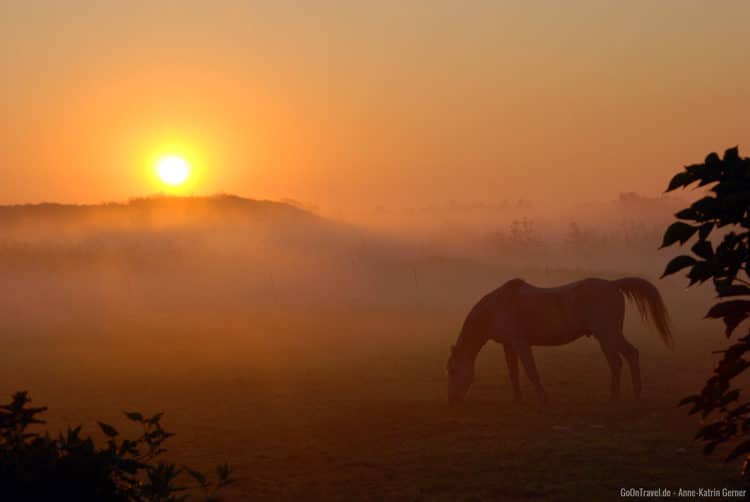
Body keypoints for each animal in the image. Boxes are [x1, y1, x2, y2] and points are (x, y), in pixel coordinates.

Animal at [446, 278, 676, 404]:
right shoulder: (508, 345)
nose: (452, 401)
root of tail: (612, 285)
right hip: (606, 336)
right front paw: (517, 399)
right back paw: (618, 394)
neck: (496, 309)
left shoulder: (520, 343)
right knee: (618, 360)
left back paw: (627, 394)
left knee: (627, 356)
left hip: (608, 334)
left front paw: (543, 398)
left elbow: (531, 370)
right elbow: (513, 373)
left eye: (453, 370)